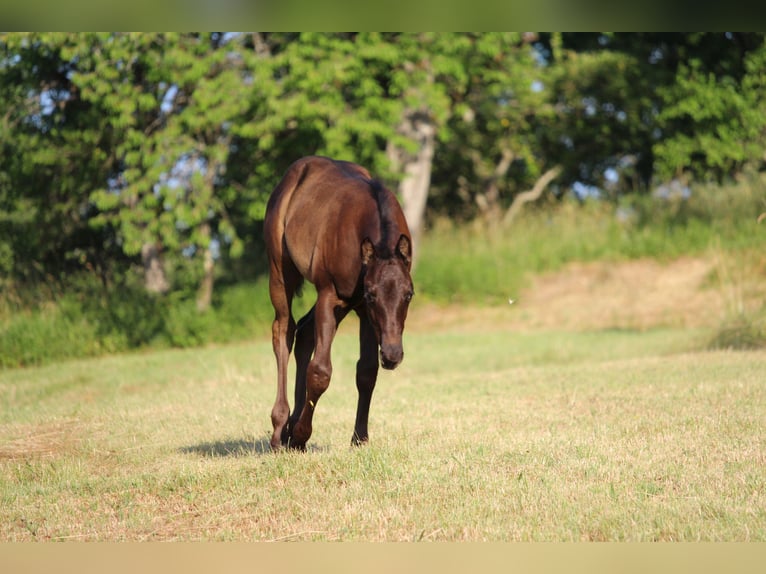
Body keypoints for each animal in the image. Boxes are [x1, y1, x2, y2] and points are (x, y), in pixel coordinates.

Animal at [263, 156, 415, 450]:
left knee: (305, 332)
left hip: (344, 305)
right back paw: (279, 429)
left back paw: (289, 428)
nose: (393, 355)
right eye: (373, 295)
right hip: (280, 272)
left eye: (409, 295)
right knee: (284, 331)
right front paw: (301, 435)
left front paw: (360, 438)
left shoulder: (364, 312)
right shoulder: (331, 296)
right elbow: (320, 371)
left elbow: (367, 371)